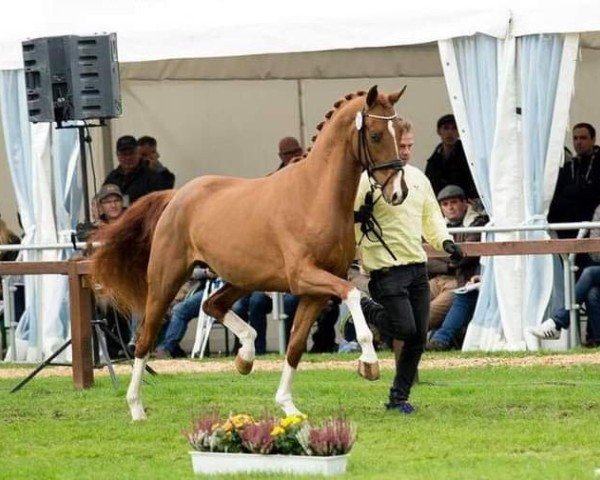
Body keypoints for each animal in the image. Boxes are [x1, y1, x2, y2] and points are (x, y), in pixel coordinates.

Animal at [92, 86, 408, 420]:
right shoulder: (304, 277)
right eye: (375, 135)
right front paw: (369, 362)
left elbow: (295, 346)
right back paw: (136, 408)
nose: (398, 192)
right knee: (145, 338)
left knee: (212, 305)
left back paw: (245, 355)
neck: (315, 196)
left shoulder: (316, 291)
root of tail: (176, 195)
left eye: (400, 131)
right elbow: (352, 293)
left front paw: (288, 405)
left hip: (242, 279)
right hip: (167, 281)